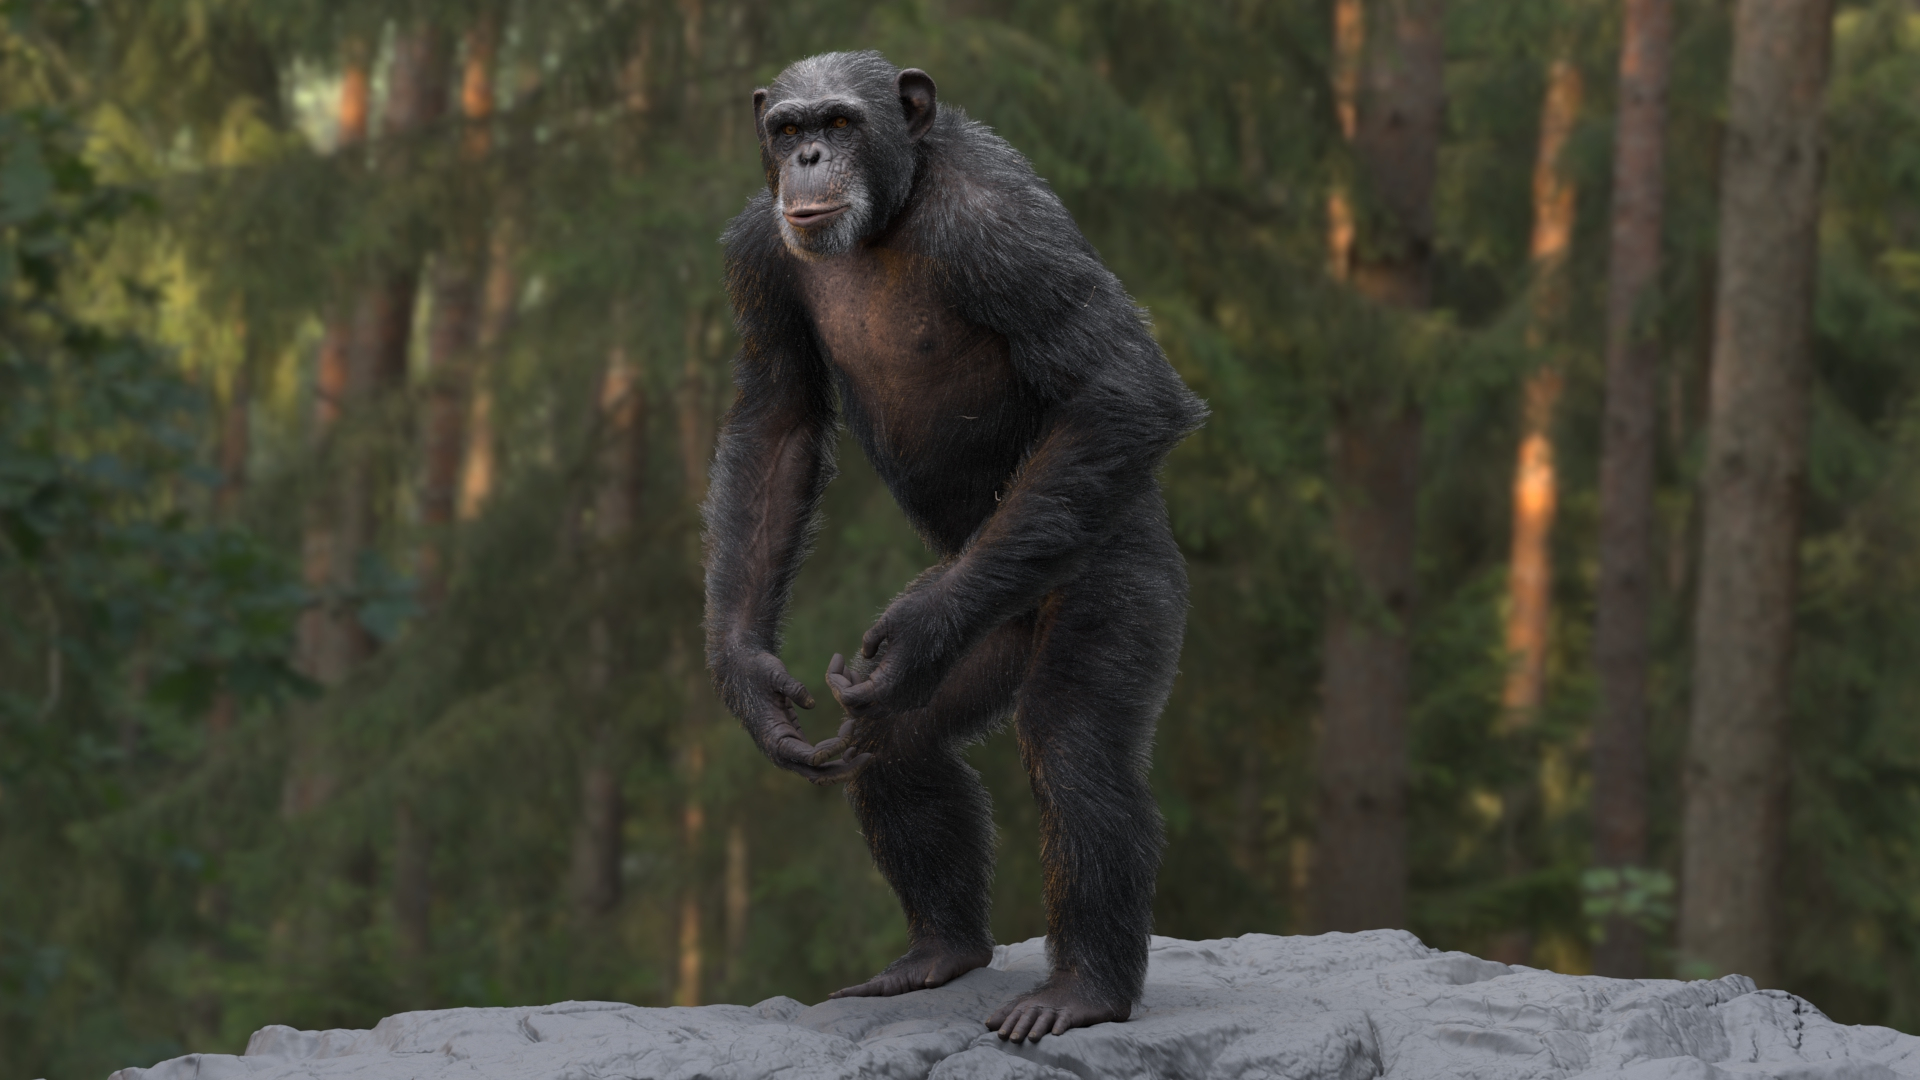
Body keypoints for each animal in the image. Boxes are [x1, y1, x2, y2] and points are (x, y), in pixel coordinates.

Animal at [702, 50, 1205, 1042]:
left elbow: (1119, 387)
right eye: (787, 128)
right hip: (990, 631)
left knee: (1074, 743)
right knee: (894, 738)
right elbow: (777, 422)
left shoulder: (1006, 230)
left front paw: (915, 626)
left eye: (842, 122)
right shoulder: (755, 252)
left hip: (1119, 578)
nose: (809, 156)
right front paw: (752, 680)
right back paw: (939, 951)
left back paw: (1082, 990)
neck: (891, 215)